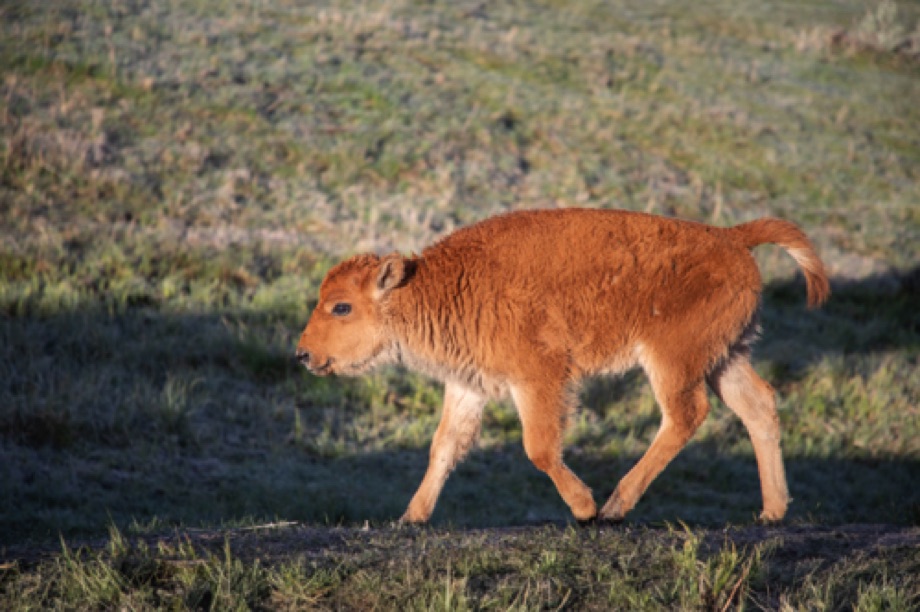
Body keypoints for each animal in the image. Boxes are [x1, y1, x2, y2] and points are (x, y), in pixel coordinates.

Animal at [298, 208, 832, 524]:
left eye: (341, 307)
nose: (303, 354)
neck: (439, 287)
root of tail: (731, 237)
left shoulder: (540, 377)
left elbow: (538, 446)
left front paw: (584, 507)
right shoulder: (469, 385)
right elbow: (445, 447)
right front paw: (412, 517)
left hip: (672, 360)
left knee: (685, 415)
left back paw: (615, 507)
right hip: (725, 357)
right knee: (758, 405)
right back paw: (772, 512)